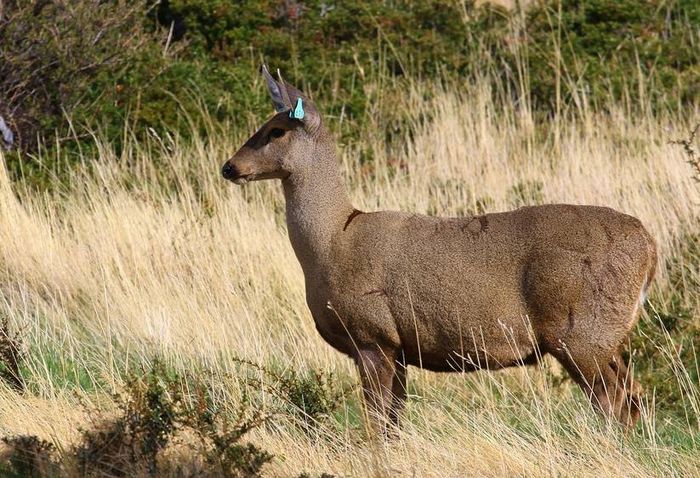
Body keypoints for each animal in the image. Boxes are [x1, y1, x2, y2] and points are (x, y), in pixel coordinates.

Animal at [223, 68, 656, 434]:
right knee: (633, 399)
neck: (333, 241)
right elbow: (394, 424)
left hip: (581, 330)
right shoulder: (398, 347)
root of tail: (650, 248)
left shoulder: (372, 335)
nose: (229, 167)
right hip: (607, 336)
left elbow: (376, 427)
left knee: (614, 403)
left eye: (276, 130)